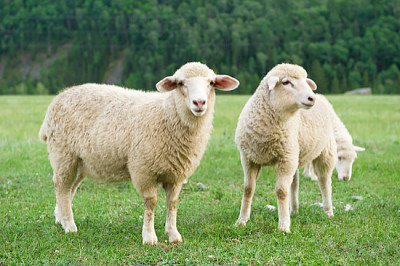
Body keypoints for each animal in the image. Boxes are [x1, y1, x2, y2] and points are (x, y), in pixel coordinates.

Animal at [39, 62, 239, 245]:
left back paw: (60, 218)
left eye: (211, 82)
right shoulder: (144, 170)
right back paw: (69, 225)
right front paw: (149, 237)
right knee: (62, 186)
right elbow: (151, 203)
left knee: (69, 189)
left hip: (80, 161)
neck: (168, 115)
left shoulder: (176, 175)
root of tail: (59, 97)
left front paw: (173, 234)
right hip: (63, 154)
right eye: (181, 83)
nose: (199, 103)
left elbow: (172, 203)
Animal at [234, 62, 338, 233]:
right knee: (294, 184)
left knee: (324, 182)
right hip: (294, 154)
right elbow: (248, 189)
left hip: (324, 152)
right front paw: (242, 220)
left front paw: (283, 226)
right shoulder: (249, 158)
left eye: (305, 81)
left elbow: (281, 192)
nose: (312, 98)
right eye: (286, 82)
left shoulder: (286, 158)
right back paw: (293, 210)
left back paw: (328, 211)